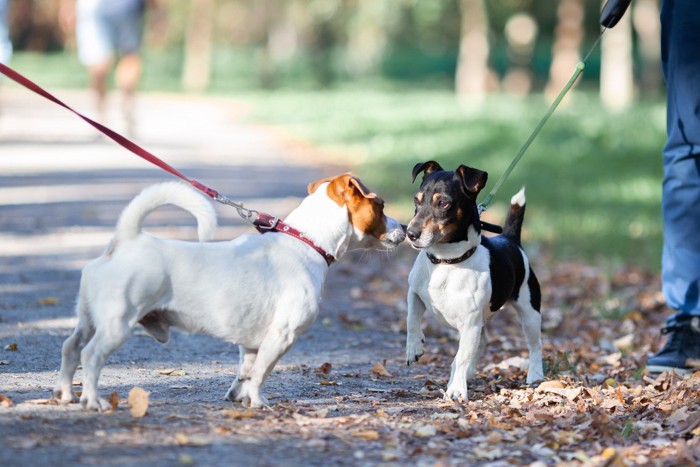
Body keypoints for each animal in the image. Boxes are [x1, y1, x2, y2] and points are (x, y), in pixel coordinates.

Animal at [54, 175, 404, 410]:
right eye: (381, 206)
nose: (404, 228)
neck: (306, 242)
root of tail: (128, 240)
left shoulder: (249, 344)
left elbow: (246, 372)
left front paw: (239, 396)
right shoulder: (282, 335)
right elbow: (261, 372)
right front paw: (258, 402)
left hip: (88, 320)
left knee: (70, 349)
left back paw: (68, 394)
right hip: (116, 325)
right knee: (90, 356)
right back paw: (93, 401)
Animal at [402, 162, 544, 402]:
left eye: (443, 203)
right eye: (416, 200)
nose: (410, 233)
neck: (446, 262)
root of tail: (511, 239)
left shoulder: (469, 325)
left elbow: (460, 357)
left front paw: (456, 391)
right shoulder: (415, 293)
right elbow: (411, 319)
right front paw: (414, 348)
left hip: (529, 312)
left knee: (535, 345)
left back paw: (535, 374)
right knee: (482, 342)